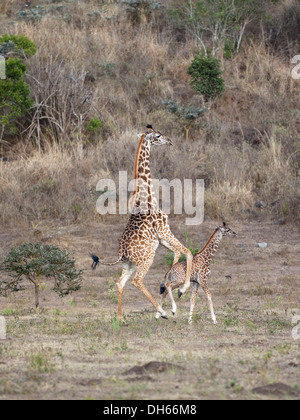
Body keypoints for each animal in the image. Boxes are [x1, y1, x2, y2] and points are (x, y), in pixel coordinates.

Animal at [91, 126, 192, 324]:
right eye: (158, 136)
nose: (169, 141)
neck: (147, 197)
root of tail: (121, 252)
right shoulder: (164, 230)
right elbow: (187, 252)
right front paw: (181, 291)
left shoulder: (161, 238)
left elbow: (177, 253)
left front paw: (170, 290)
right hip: (147, 258)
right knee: (136, 281)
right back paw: (162, 312)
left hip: (129, 264)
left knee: (120, 283)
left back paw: (121, 319)